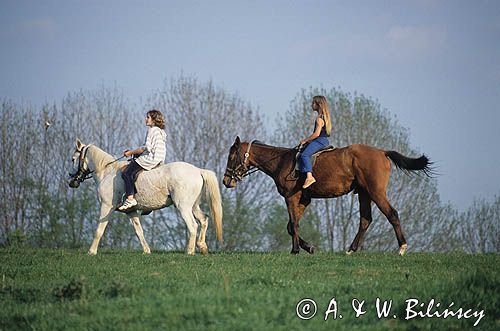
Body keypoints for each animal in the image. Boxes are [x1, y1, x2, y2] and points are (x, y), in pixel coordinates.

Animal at [68, 139, 223, 255]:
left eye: (73, 159)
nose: (71, 181)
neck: (107, 171)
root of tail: (198, 170)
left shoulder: (106, 207)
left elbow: (99, 229)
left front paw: (91, 251)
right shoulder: (130, 211)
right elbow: (139, 231)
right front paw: (146, 251)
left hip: (183, 207)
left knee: (192, 225)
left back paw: (189, 251)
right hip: (193, 206)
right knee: (204, 220)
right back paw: (202, 246)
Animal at [222, 137, 430, 256]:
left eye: (231, 157)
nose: (225, 180)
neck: (281, 161)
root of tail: (382, 152)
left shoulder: (291, 197)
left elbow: (293, 224)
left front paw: (295, 250)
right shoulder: (304, 199)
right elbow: (290, 226)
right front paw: (308, 247)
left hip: (376, 192)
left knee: (392, 214)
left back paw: (402, 247)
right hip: (365, 193)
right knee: (365, 220)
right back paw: (351, 249)